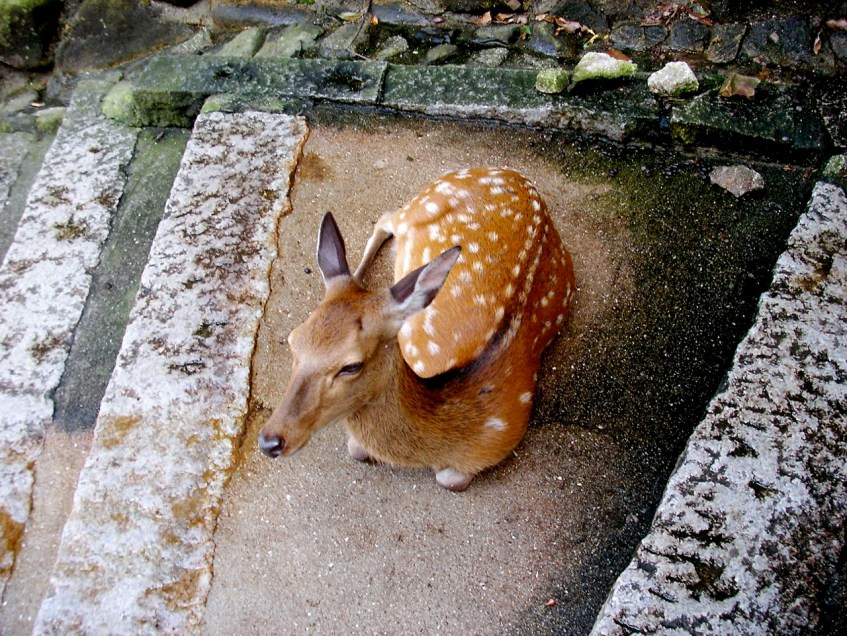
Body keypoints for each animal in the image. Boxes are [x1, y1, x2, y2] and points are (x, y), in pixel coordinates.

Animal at [259, 167, 575, 491]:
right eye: (293, 341)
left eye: (351, 365)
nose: (270, 441)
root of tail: (512, 175)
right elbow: (357, 448)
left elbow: (449, 478)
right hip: (422, 204)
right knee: (387, 217)